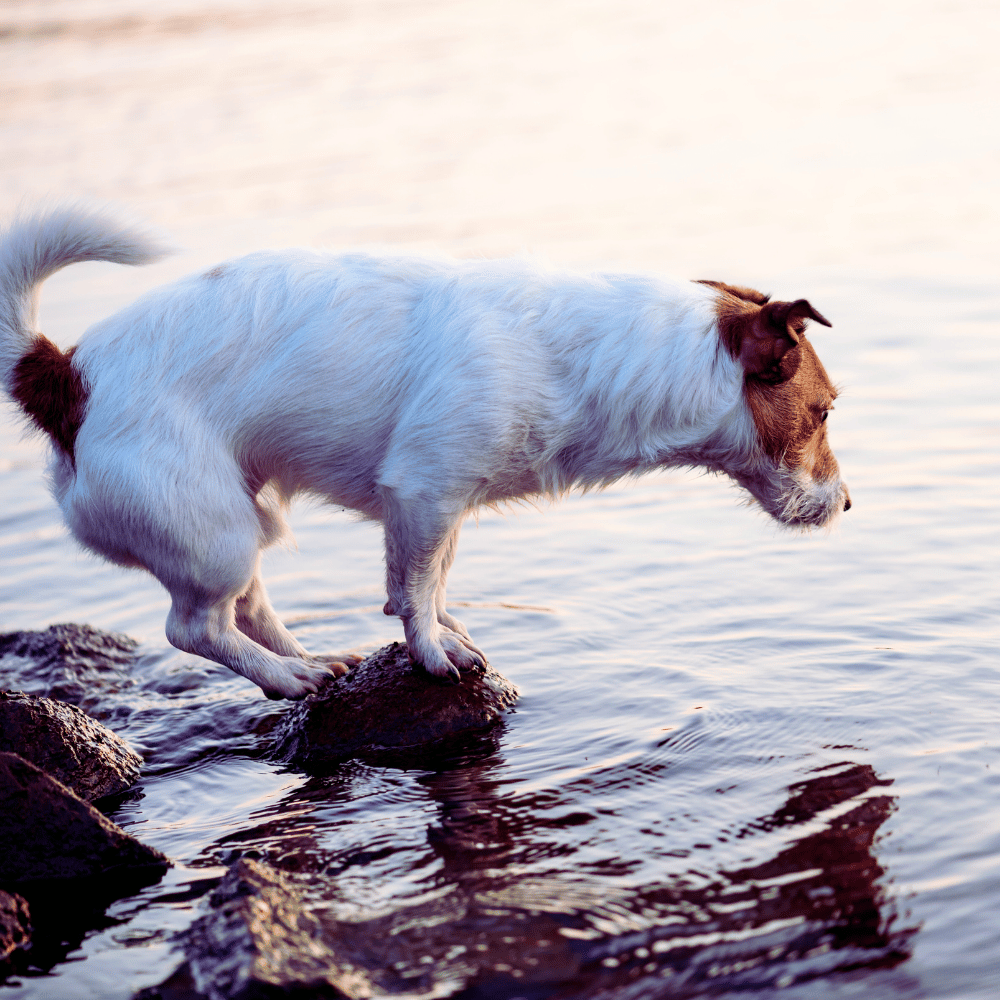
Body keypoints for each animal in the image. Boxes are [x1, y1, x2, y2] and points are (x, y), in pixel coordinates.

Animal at [0, 207, 852, 700]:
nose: (848, 503)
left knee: (247, 605)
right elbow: (411, 588)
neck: (588, 356)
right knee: (194, 628)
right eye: (825, 412)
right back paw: (287, 676)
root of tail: (66, 374)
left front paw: (445, 630)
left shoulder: (444, 506)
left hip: (243, 515)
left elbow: (430, 577)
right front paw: (433, 653)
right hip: (210, 530)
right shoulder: (422, 491)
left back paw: (309, 657)